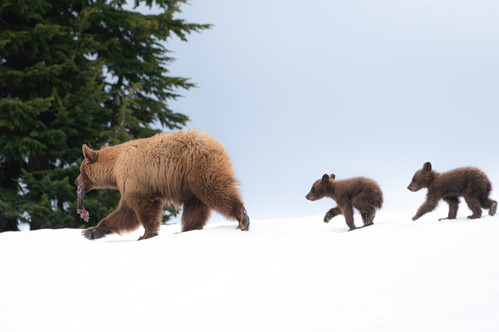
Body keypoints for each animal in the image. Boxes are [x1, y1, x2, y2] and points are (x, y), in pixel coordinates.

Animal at [75, 128, 250, 240]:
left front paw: (146, 234)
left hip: (199, 168)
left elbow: (141, 207)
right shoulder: (128, 184)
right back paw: (186, 230)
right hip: (190, 184)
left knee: (216, 190)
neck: (115, 164)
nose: (76, 181)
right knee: (195, 208)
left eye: (81, 169)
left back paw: (243, 219)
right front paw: (91, 231)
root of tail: (216, 144)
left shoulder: (134, 178)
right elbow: (125, 212)